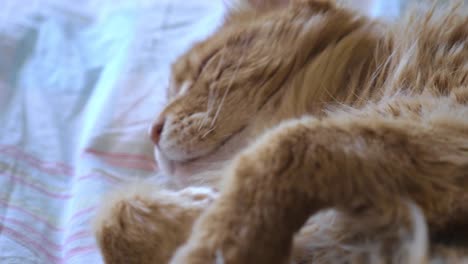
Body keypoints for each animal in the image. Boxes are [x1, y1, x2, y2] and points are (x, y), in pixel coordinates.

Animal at [93, 0, 468, 262]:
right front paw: (195, 211)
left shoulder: (449, 128)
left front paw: (215, 242)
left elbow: (281, 147)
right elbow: (109, 222)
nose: (152, 132)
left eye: (206, 66)